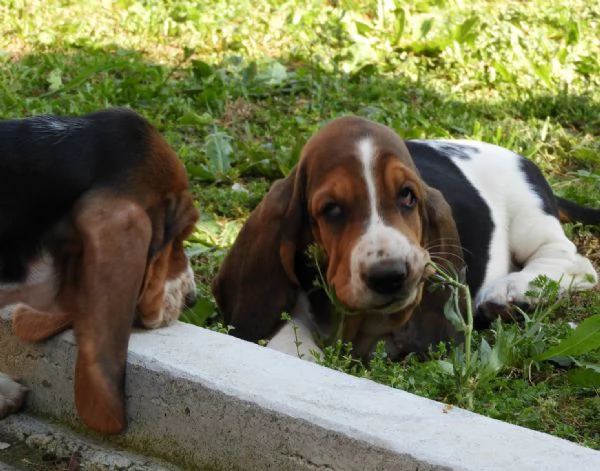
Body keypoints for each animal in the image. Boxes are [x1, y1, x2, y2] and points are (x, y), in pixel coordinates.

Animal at [213, 118, 596, 362]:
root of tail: (524, 160)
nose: (390, 276)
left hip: (528, 216)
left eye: (408, 197)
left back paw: (510, 293)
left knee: (575, 261)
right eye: (331, 209)